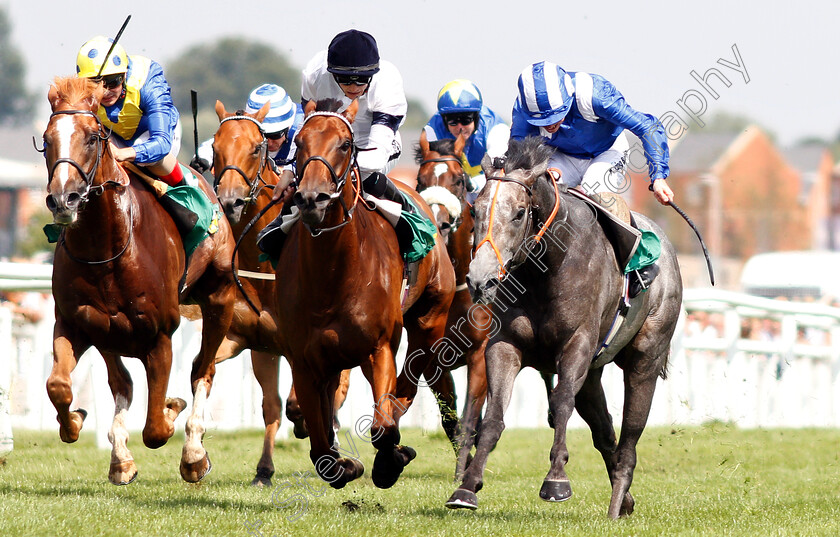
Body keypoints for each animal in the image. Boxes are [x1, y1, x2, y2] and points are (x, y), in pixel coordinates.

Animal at [44, 77, 238, 484]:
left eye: (92, 138)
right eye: (47, 139)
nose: (64, 199)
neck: (106, 251)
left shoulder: (159, 335)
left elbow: (155, 429)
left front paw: (172, 411)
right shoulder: (77, 324)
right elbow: (60, 386)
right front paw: (77, 422)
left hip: (220, 298)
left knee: (203, 369)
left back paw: (194, 453)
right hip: (109, 334)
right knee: (123, 383)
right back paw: (120, 456)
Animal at [213, 100, 352, 486]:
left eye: (255, 147)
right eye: (215, 147)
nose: (230, 201)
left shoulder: (298, 346)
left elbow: (295, 402)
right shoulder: (254, 343)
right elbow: (270, 406)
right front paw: (263, 469)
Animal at [276, 98, 456, 488]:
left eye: (345, 144)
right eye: (299, 142)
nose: (312, 198)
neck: (331, 275)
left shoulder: (379, 347)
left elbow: (383, 428)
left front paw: (389, 462)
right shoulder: (305, 360)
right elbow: (321, 450)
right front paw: (347, 464)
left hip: (430, 322)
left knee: (411, 381)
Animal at [446, 136, 684, 516]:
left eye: (518, 213)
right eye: (476, 211)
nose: (480, 280)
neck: (547, 269)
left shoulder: (577, 344)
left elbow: (560, 405)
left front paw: (556, 480)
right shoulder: (504, 345)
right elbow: (494, 416)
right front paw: (467, 487)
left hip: (645, 359)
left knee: (629, 437)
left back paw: (616, 505)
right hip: (594, 374)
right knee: (605, 432)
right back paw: (625, 500)